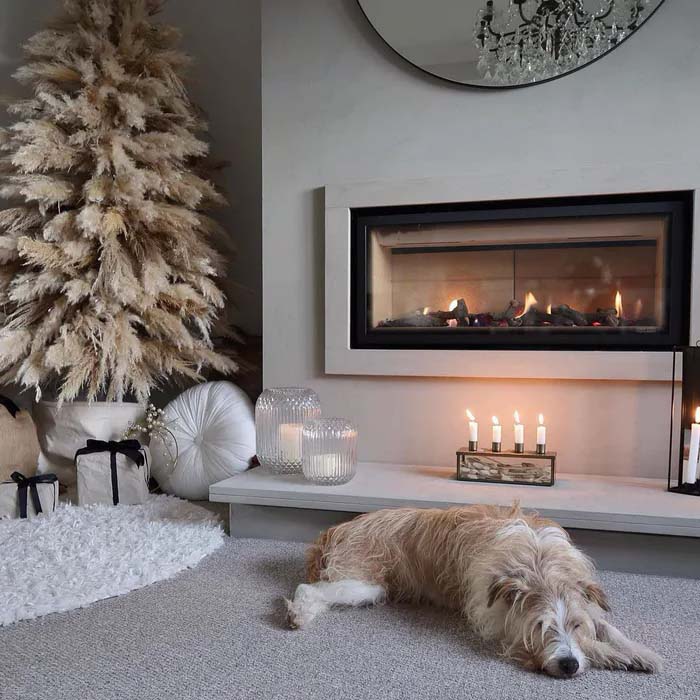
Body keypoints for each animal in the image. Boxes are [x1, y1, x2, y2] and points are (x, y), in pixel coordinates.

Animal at [286, 504, 660, 680]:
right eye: (540, 628)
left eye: (576, 625)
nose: (568, 665)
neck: (538, 563)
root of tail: (339, 527)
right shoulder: (497, 623)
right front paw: (610, 655)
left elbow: (606, 626)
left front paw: (639, 652)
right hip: (365, 583)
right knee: (309, 588)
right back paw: (298, 613)